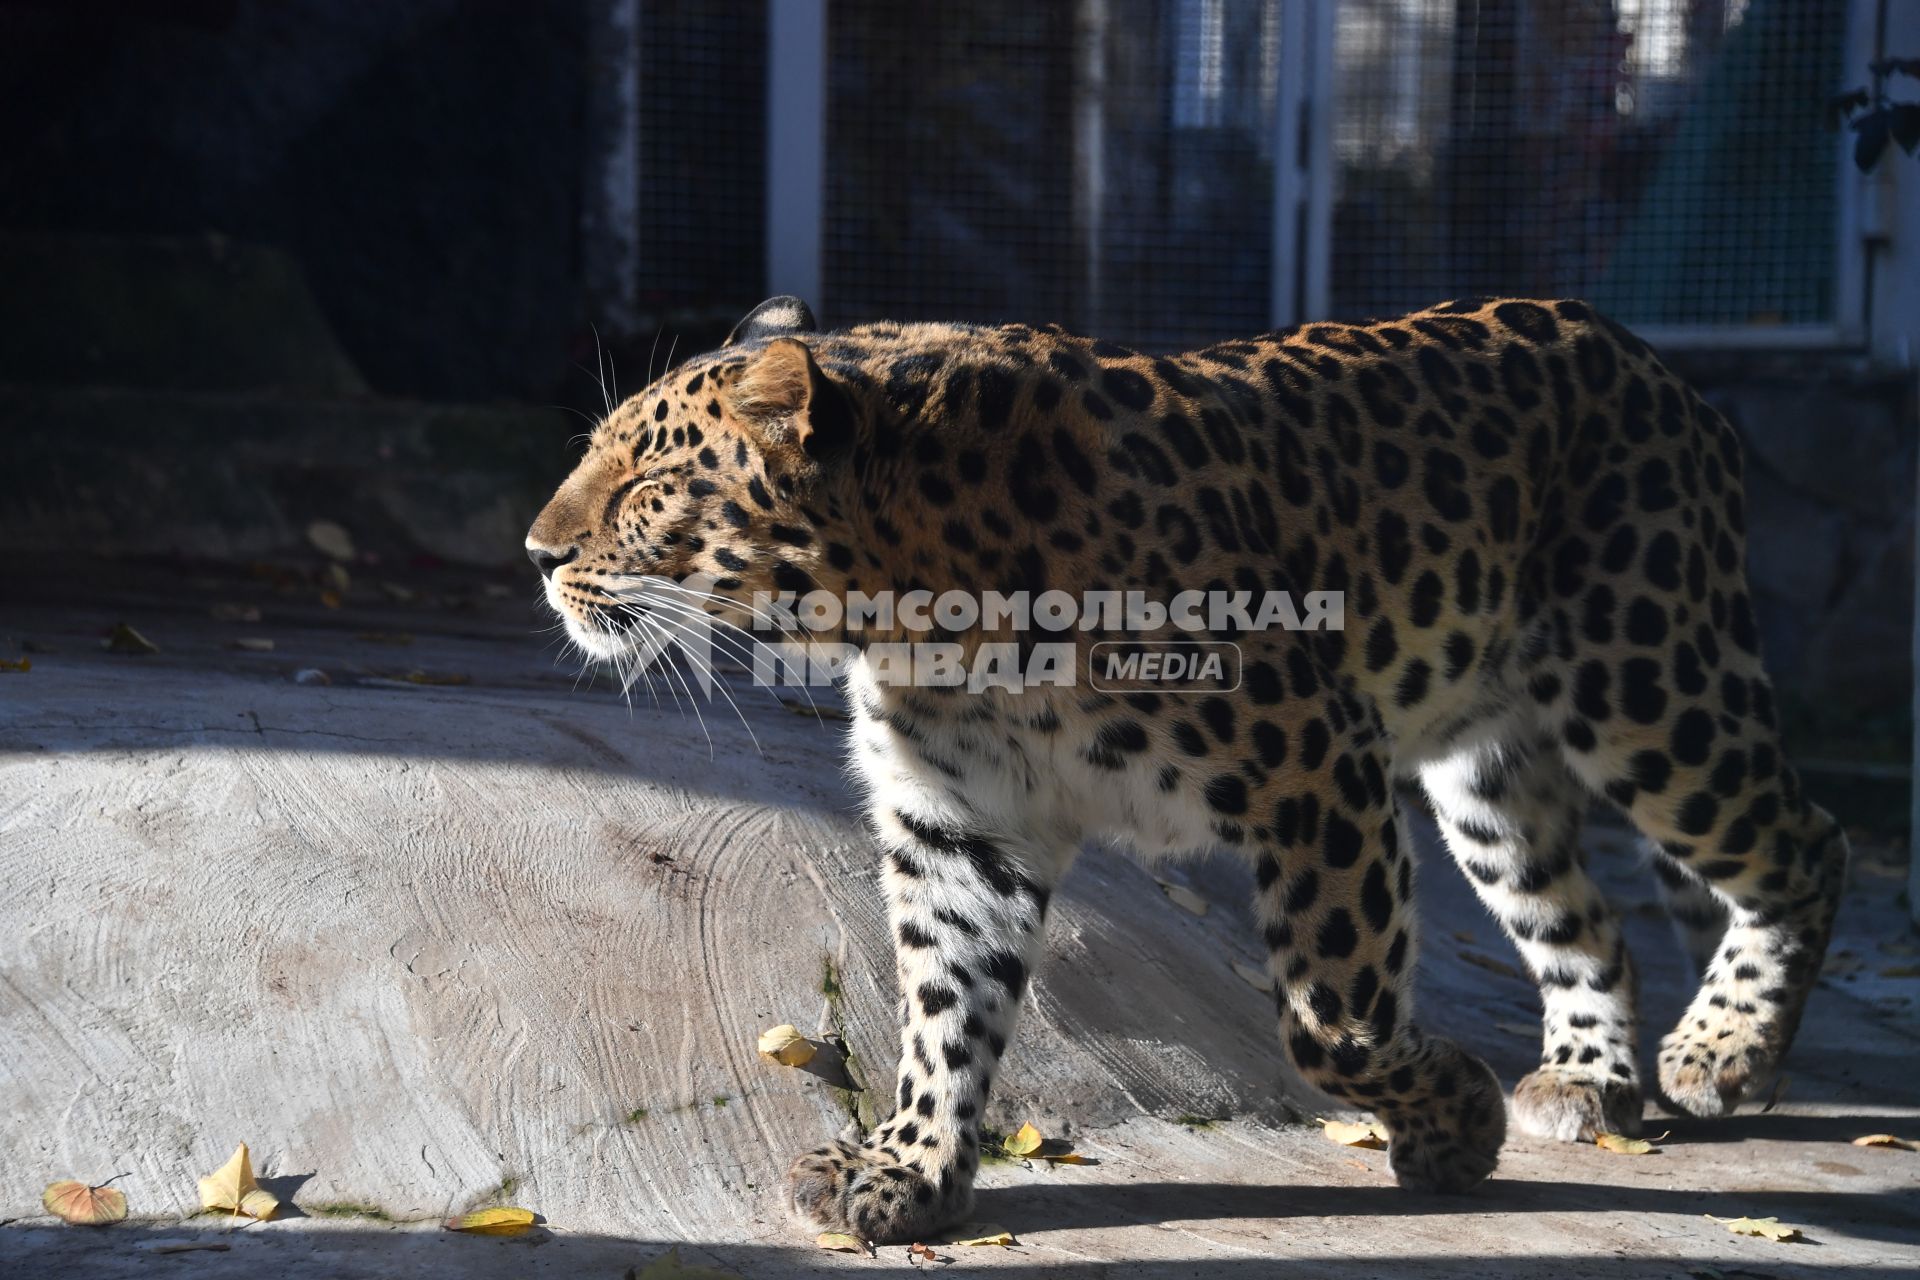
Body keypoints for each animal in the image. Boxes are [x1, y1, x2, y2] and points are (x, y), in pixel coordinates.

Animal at [526, 293, 1843, 1243]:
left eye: (645, 485)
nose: (537, 553)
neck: (912, 604)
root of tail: (1663, 369)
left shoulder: (1317, 763)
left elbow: (1332, 1025)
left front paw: (1454, 1124)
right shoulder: (963, 826)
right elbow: (943, 1010)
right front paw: (908, 1169)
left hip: (1648, 680)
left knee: (1804, 840)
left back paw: (1722, 1050)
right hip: (1489, 772)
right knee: (1588, 920)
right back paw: (1588, 1076)